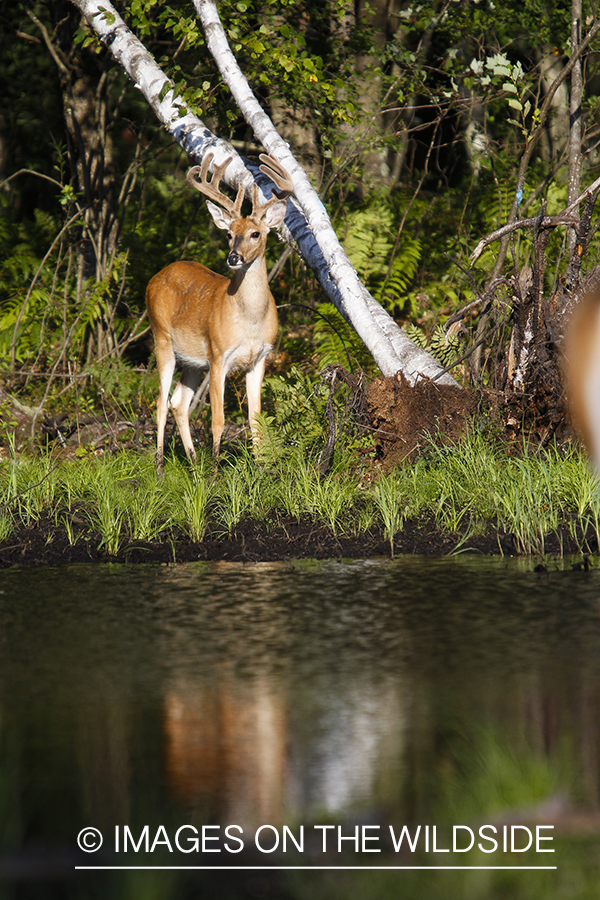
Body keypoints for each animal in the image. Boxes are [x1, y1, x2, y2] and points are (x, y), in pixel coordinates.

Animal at [148, 156, 292, 474]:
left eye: (255, 233)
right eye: (228, 234)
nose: (233, 257)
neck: (250, 321)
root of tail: (156, 277)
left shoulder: (260, 359)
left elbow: (255, 420)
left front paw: (261, 471)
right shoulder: (218, 355)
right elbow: (218, 421)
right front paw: (216, 472)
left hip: (192, 361)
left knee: (178, 402)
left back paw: (192, 463)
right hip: (161, 337)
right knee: (161, 403)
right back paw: (161, 467)